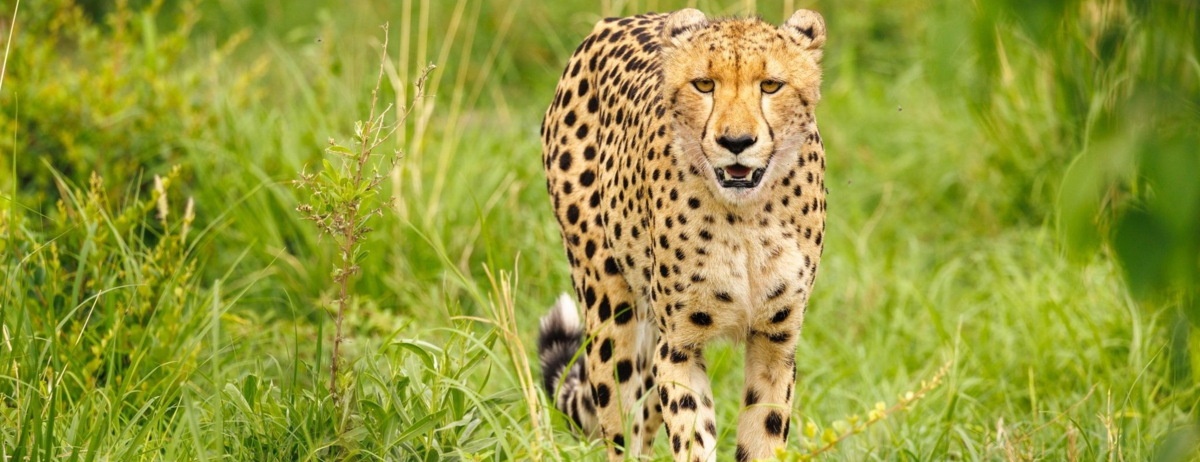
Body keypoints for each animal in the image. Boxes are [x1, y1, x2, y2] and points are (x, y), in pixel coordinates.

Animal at [537, 8, 827, 462]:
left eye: (771, 85)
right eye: (704, 84)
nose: (736, 141)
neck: (745, 217)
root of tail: (613, 22)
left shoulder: (775, 343)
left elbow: (763, 431)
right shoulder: (678, 347)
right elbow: (692, 433)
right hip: (610, 306)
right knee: (622, 426)